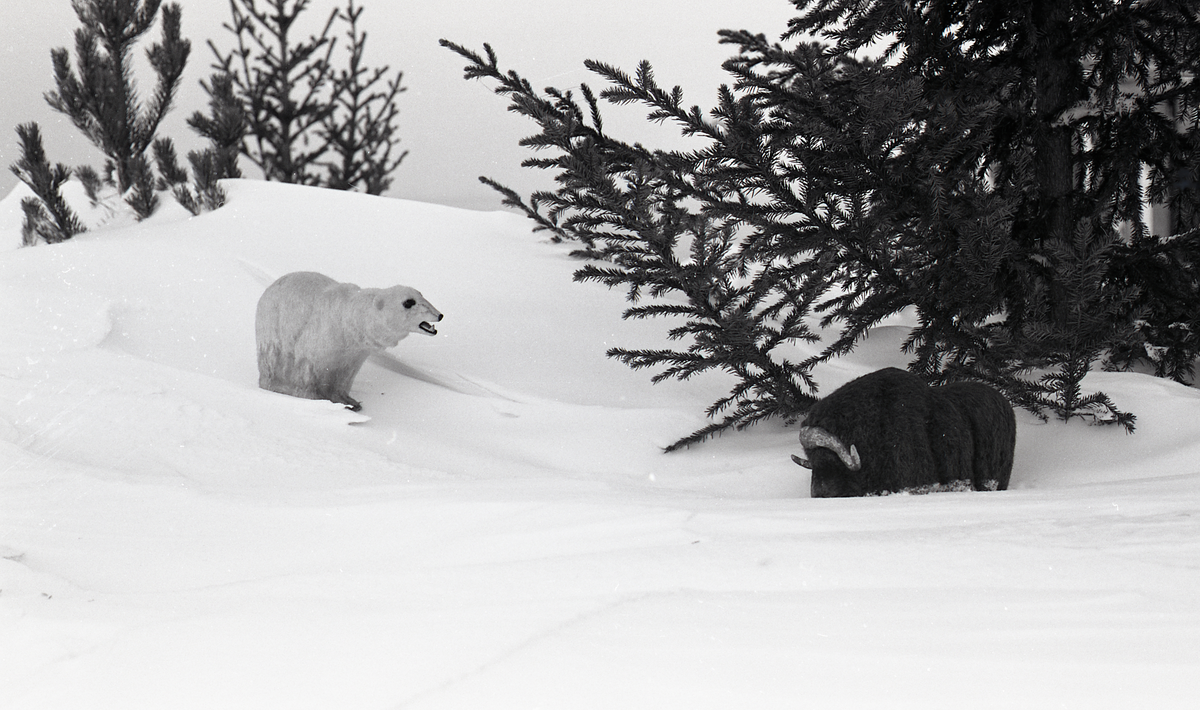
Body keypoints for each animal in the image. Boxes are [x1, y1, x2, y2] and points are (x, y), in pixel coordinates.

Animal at [255, 269, 444, 410]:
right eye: (408, 302)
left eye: (421, 295)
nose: (439, 315)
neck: (347, 322)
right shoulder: (319, 336)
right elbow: (307, 368)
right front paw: (312, 397)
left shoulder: (354, 353)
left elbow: (345, 375)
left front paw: (350, 402)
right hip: (272, 324)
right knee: (271, 358)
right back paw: (273, 384)